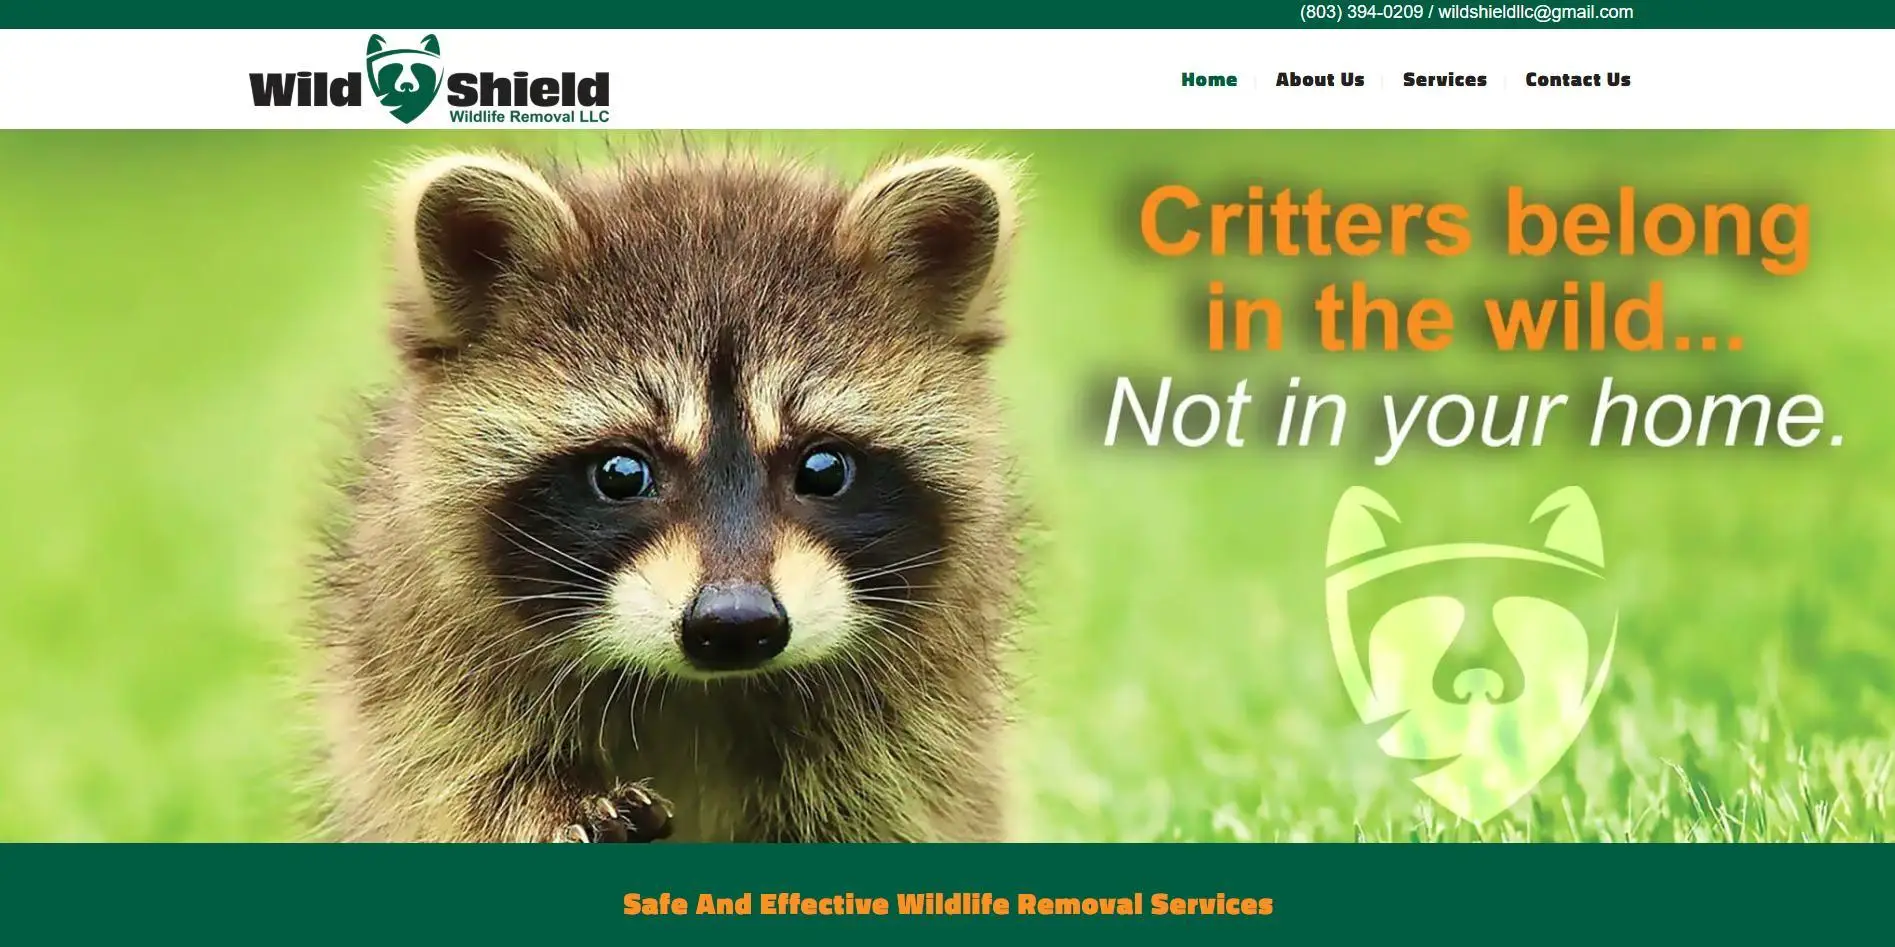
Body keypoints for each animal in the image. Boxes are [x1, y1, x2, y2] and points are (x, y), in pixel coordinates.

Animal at [312, 147, 1026, 843]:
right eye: (622, 474)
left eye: (824, 469)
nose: (737, 623)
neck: (703, 691)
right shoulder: (424, 681)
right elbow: (465, 785)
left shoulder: (915, 732)